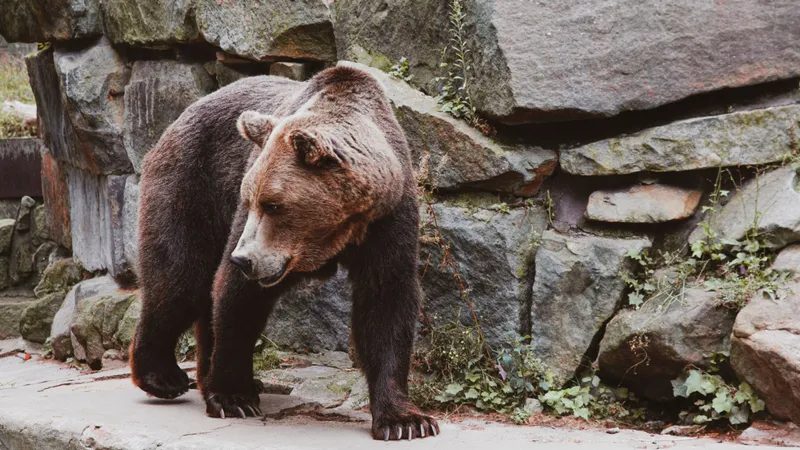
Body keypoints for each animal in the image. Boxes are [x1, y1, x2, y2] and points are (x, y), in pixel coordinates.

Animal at [129, 65, 439, 440]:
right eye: (251, 200)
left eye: (274, 204)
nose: (243, 259)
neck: (340, 230)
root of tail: (179, 116)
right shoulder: (244, 220)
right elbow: (236, 296)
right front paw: (233, 396)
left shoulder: (389, 220)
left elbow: (386, 303)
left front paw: (405, 420)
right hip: (192, 182)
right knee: (180, 278)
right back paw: (164, 376)